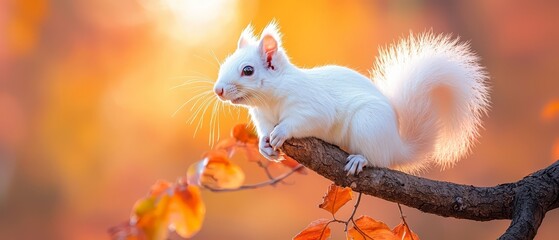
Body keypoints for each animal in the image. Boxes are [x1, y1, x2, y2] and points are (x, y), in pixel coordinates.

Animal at [213, 22, 490, 174]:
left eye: (248, 70)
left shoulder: (312, 106)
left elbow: (304, 121)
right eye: (225, 63)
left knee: (378, 160)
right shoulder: (262, 118)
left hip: (368, 125)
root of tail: (395, 145)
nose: (218, 90)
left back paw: (360, 159)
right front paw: (264, 146)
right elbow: (264, 132)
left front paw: (282, 132)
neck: (268, 101)